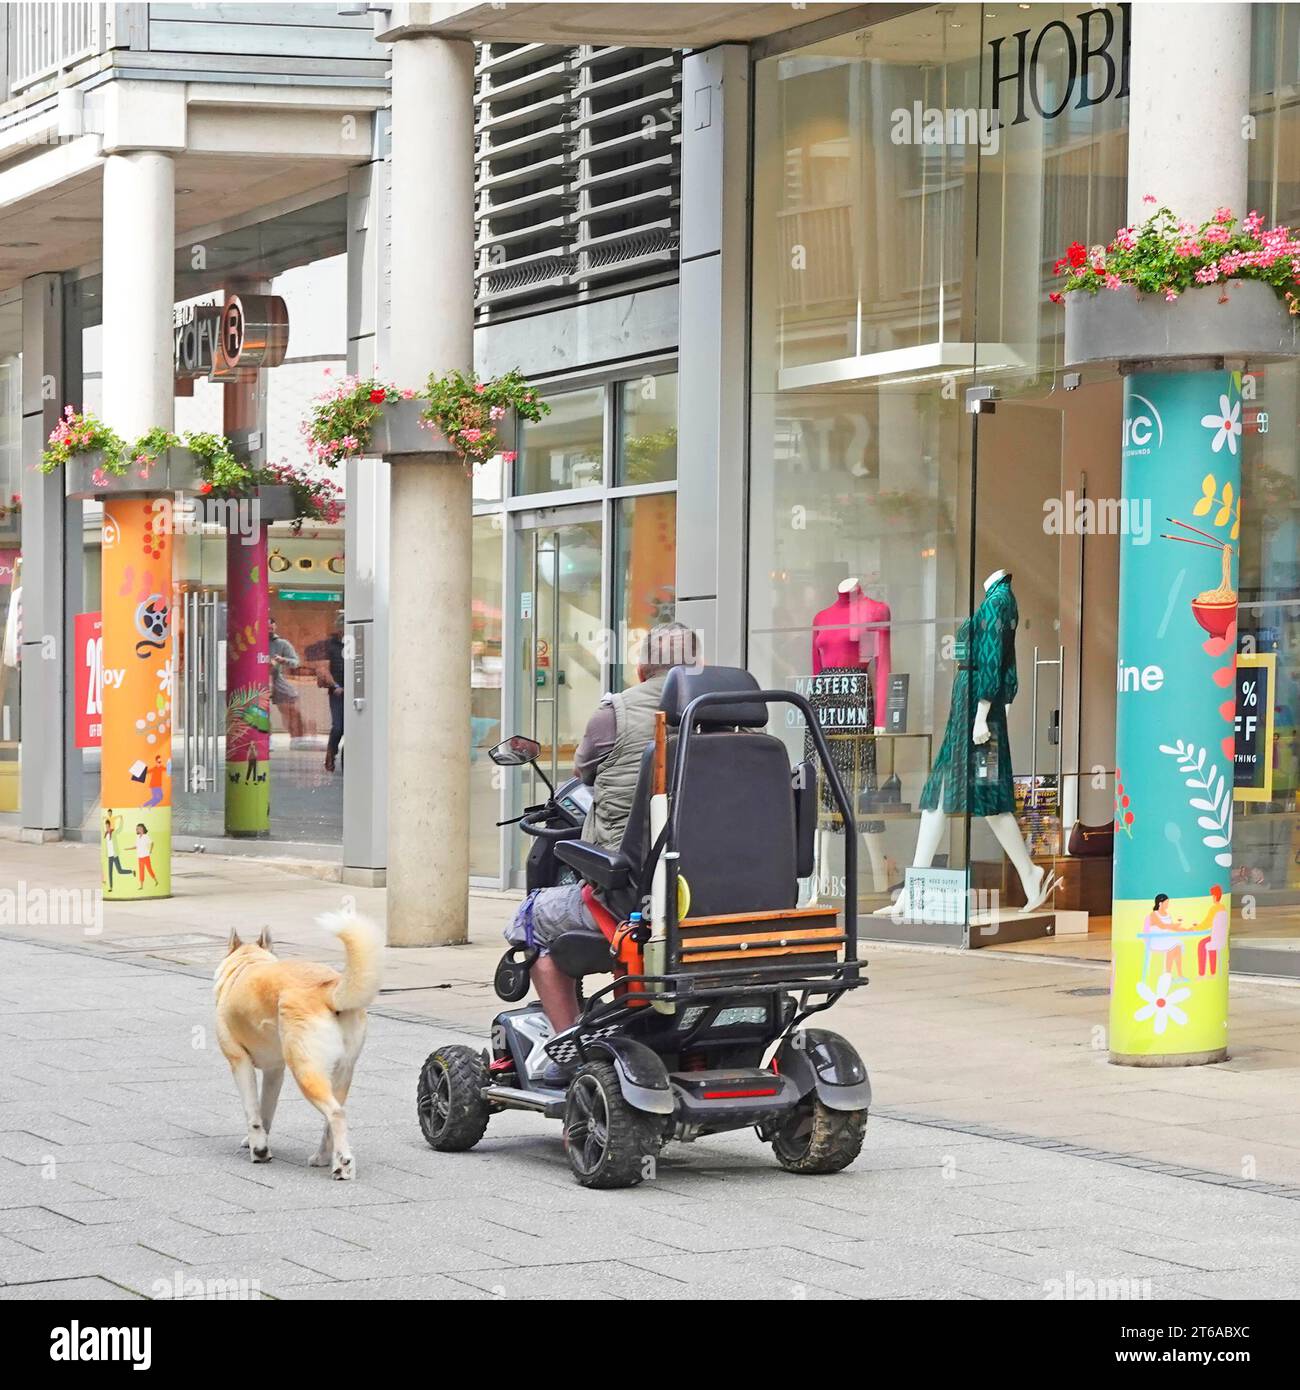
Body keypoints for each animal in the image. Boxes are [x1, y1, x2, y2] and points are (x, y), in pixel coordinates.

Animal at [214, 911, 383, 1184]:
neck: (245, 965)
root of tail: (330, 988)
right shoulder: (274, 1072)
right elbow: (266, 1111)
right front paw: (258, 1142)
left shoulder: (239, 1062)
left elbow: (253, 1113)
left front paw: (259, 1150)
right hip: (339, 1074)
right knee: (332, 1118)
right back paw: (325, 1158)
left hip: (306, 1072)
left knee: (335, 1114)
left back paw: (344, 1165)